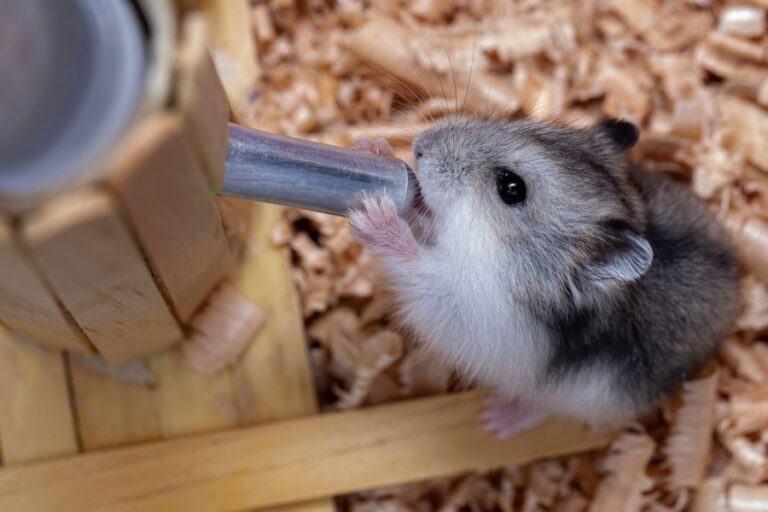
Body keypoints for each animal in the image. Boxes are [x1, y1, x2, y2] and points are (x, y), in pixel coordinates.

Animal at [349, 117, 741, 437]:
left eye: (511, 188)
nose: (420, 145)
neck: (502, 253)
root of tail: (739, 290)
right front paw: (372, 148)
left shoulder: (465, 303)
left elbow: (419, 269)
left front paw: (375, 216)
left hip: (586, 397)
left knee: (547, 408)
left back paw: (496, 418)